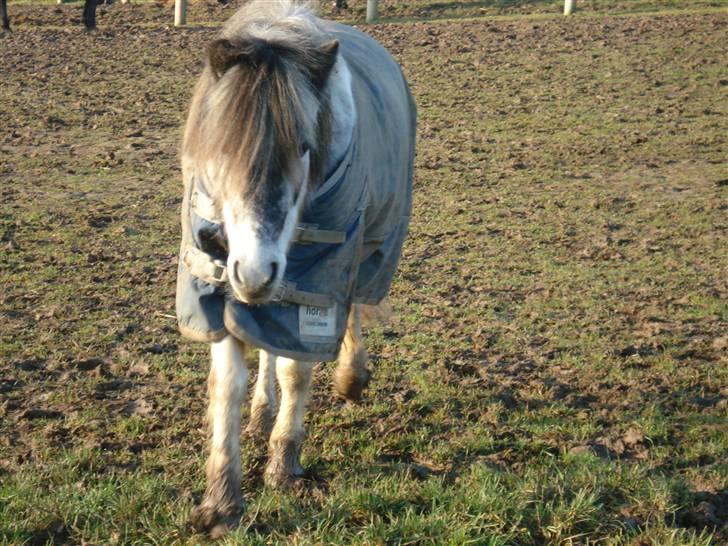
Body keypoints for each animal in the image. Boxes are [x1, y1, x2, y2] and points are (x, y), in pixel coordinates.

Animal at [175, 0, 416, 532]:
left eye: (304, 148)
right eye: (222, 150)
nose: (255, 270)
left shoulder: (318, 276)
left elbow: (296, 370)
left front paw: (283, 464)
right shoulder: (217, 280)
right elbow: (229, 385)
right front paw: (221, 500)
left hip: (368, 244)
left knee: (353, 309)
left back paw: (350, 377)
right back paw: (262, 413)